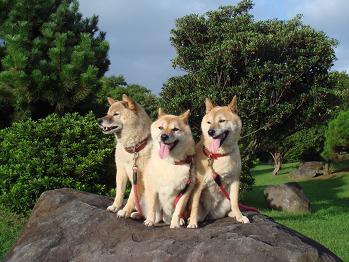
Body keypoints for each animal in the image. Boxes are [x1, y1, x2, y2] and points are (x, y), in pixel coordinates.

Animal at [186, 97, 249, 228]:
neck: (218, 155)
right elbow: (194, 206)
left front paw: (240, 216)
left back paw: (234, 214)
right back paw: (190, 219)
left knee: (229, 207)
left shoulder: (235, 180)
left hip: (225, 201)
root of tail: (211, 214)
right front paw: (193, 223)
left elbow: (235, 202)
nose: (211, 132)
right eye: (209, 122)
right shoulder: (198, 185)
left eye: (222, 121)